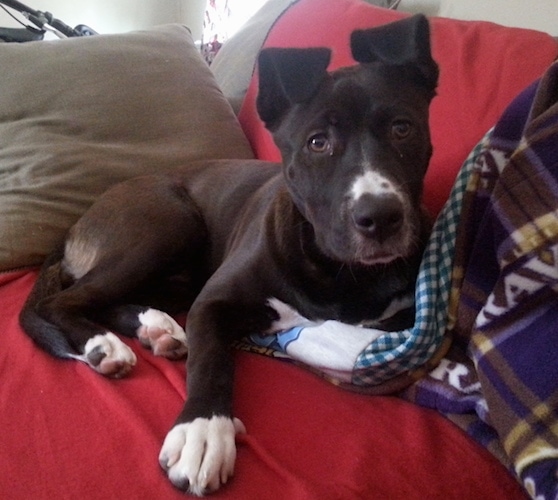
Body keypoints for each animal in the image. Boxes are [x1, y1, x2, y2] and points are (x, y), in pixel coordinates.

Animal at [20, 15, 438, 496]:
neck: (338, 272)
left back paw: (156, 328)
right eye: (317, 142)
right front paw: (203, 431)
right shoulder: (212, 302)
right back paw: (103, 344)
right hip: (167, 222)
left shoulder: (404, 316)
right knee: (65, 300)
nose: (381, 217)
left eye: (402, 128)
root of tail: (77, 222)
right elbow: (211, 361)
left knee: (106, 298)